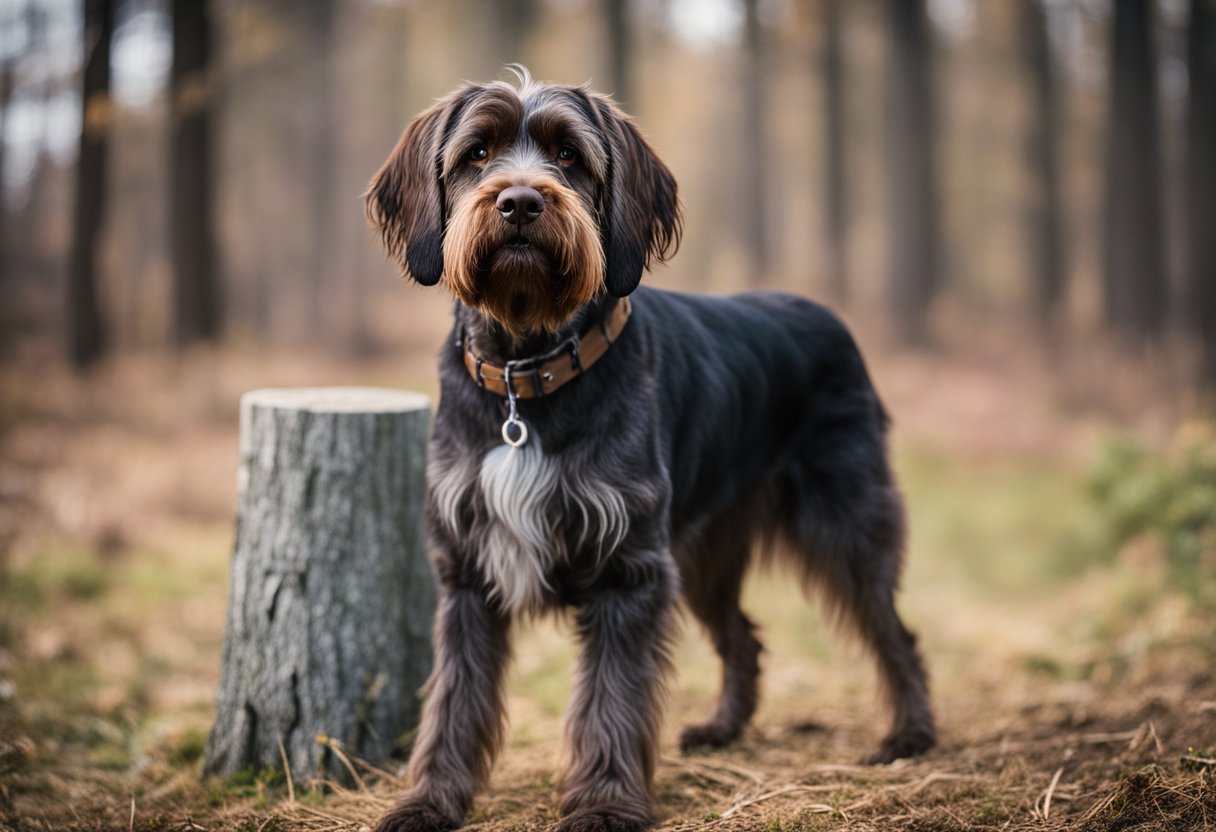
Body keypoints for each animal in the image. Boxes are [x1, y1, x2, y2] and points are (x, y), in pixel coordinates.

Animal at [364, 69, 933, 832]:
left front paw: (605, 802)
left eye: (569, 155)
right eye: (477, 152)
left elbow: (611, 699)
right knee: (744, 637)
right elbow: (454, 699)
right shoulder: (466, 571)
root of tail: (830, 318)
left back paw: (910, 734)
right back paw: (724, 727)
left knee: (892, 630)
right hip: (705, 555)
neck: (527, 375)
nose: (520, 202)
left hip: (845, 524)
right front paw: (428, 801)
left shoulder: (628, 570)